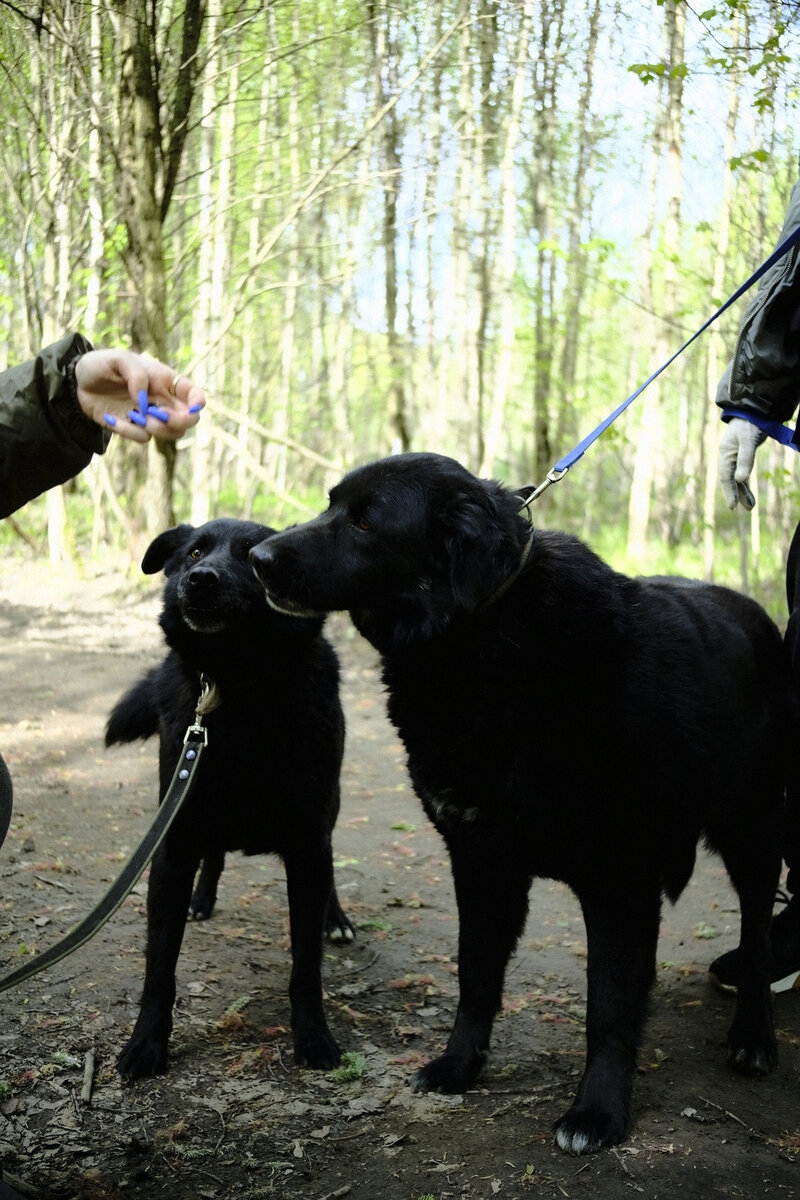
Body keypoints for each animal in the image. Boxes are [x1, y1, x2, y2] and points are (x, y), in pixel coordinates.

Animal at [106, 520, 350, 1084]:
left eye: (251, 558)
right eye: (195, 551)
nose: (199, 580)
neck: (240, 689)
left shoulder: (308, 844)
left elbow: (305, 964)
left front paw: (314, 1036)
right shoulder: (173, 844)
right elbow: (159, 969)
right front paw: (146, 1044)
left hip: (328, 812)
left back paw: (337, 918)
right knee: (214, 853)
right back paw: (202, 899)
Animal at [251, 451, 800, 1152]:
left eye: (366, 522)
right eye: (331, 504)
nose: (258, 557)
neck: (479, 636)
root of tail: (757, 616)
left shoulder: (619, 881)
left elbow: (609, 1005)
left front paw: (597, 1113)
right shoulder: (482, 863)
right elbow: (475, 975)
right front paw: (460, 1065)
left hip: (753, 832)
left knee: (757, 938)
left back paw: (754, 1037)